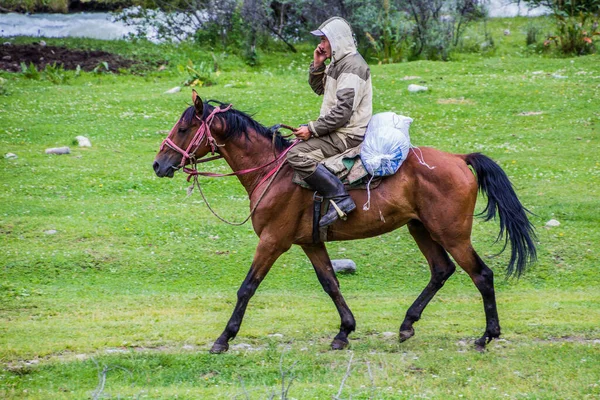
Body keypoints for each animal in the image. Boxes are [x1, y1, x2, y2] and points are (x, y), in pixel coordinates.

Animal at [152, 91, 536, 354]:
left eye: (184, 128)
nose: (158, 164)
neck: (271, 171)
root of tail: (458, 158)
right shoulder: (311, 242)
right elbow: (331, 284)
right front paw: (344, 331)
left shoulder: (273, 241)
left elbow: (247, 287)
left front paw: (223, 338)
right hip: (421, 228)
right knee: (441, 270)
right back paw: (407, 325)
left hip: (451, 233)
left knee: (481, 275)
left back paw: (486, 336)